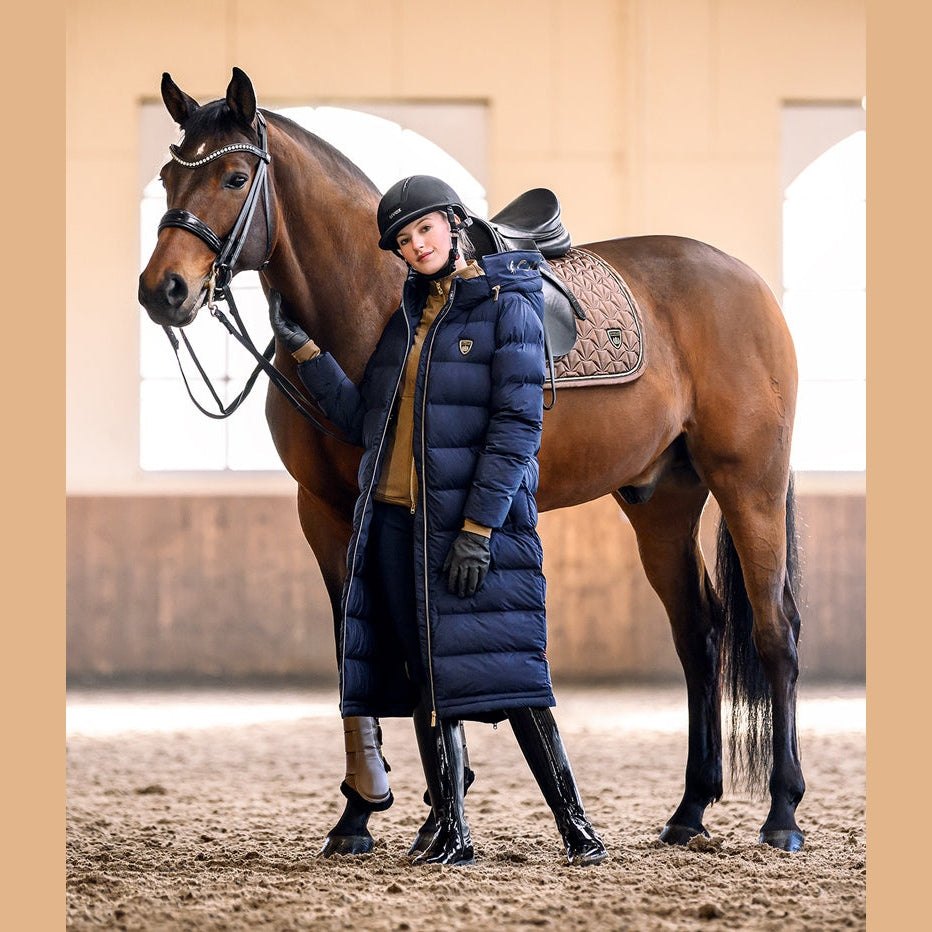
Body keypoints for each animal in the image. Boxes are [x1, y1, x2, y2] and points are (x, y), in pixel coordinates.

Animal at [138, 68, 805, 854]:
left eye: (236, 176)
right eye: (167, 176)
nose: (163, 290)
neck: (373, 305)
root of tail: (748, 283)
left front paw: (422, 808)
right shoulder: (327, 511)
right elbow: (357, 648)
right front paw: (372, 812)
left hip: (749, 485)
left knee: (773, 632)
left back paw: (782, 813)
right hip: (663, 502)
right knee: (699, 635)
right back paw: (689, 809)